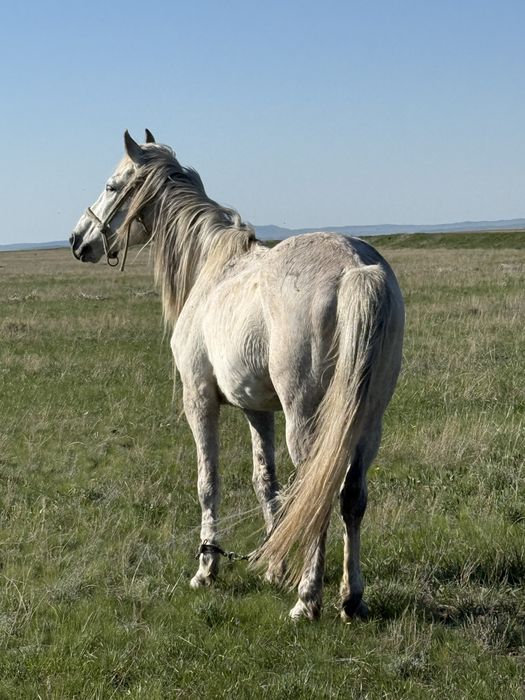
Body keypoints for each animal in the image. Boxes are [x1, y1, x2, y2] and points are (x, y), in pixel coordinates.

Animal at [70, 130, 405, 621]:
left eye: (112, 186)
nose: (78, 240)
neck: (212, 269)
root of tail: (355, 268)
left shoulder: (199, 400)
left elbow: (208, 484)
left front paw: (207, 569)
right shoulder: (257, 408)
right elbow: (266, 483)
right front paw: (274, 564)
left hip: (307, 420)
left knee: (320, 491)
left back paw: (308, 600)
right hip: (367, 422)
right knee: (351, 498)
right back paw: (351, 598)